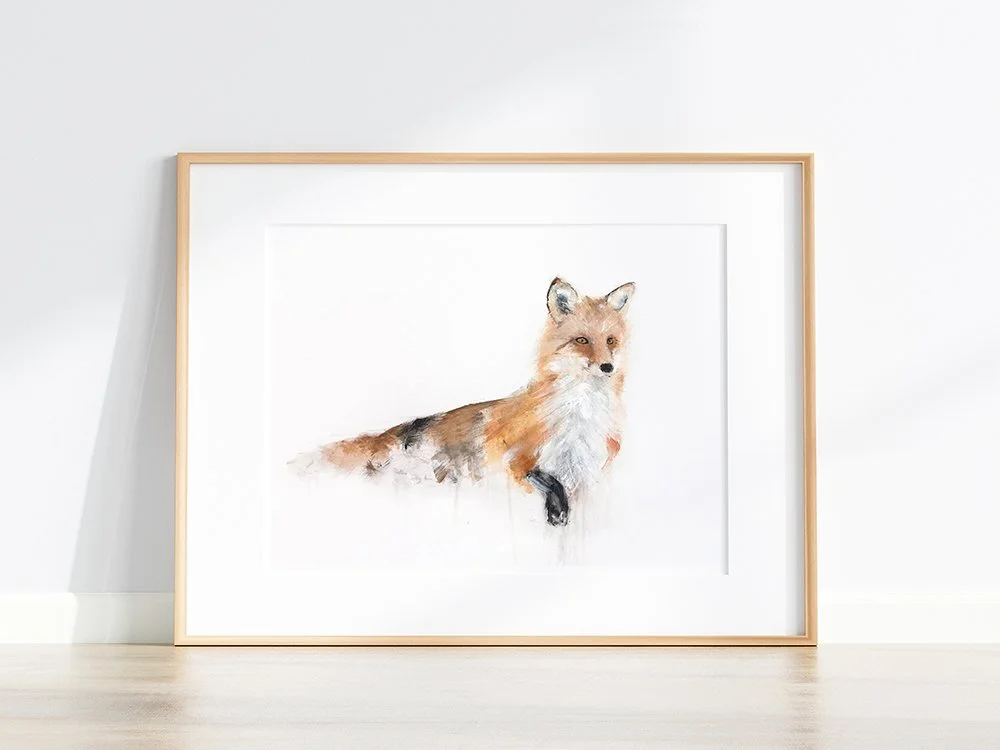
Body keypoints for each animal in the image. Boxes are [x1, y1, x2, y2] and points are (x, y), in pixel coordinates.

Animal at [290, 277, 635, 526]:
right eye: (582, 340)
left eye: (610, 341)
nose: (607, 367)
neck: (579, 417)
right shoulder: (513, 461)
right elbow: (546, 479)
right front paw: (556, 512)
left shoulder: (588, 477)